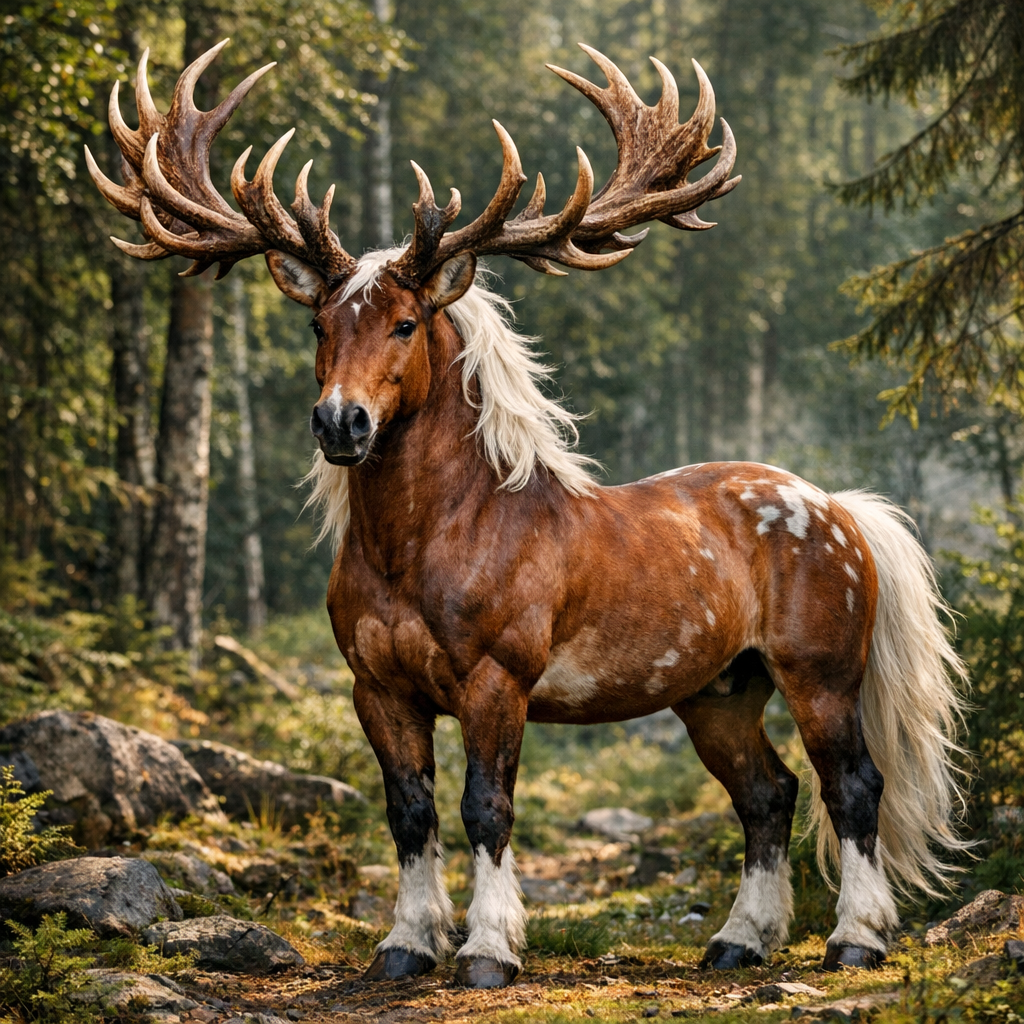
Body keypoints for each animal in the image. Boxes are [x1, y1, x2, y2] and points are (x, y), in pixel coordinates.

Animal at [89, 40, 969, 989]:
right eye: (318, 323)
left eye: (407, 322)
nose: (339, 424)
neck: (416, 550)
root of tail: (844, 510)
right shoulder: (377, 687)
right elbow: (409, 811)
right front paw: (406, 944)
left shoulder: (497, 676)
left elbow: (487, 807)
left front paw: (487, 948)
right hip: (719, 690)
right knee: (768, 795)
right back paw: (739, 939)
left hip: (822, 672)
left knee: (854, 787)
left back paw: (857, 937)